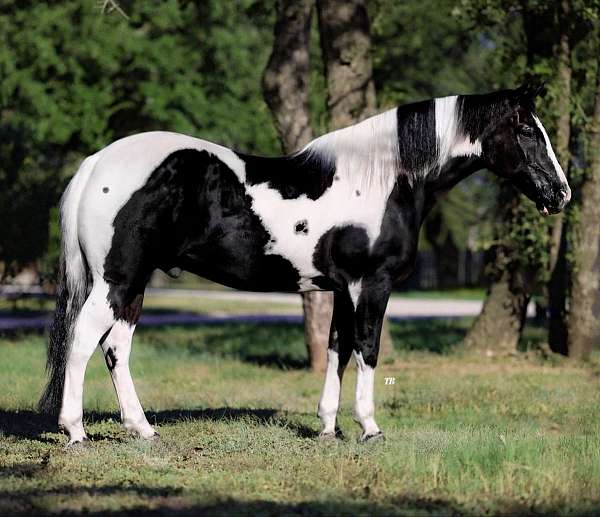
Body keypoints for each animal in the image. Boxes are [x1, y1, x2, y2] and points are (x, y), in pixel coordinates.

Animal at [38, 82, 572, 446]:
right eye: (527, 129)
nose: (561, 193)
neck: (384, 179)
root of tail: (97, 163)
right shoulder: (370, 285)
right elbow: (367, 350)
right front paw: (369, 428)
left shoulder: (341, 289)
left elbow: (337, 351)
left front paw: (327, 428)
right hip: (116, 280)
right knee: (84, 341)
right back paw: (75, 431)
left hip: (132, 285)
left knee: (116, 348)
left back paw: (143, 429)